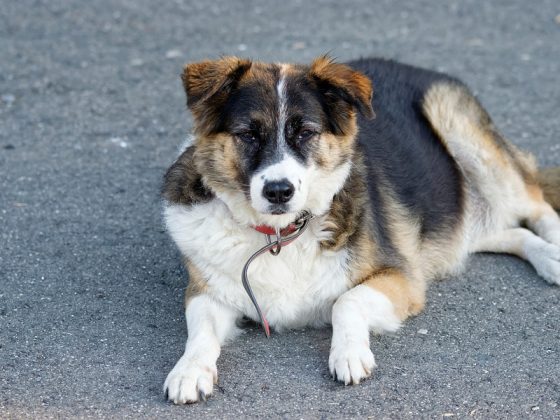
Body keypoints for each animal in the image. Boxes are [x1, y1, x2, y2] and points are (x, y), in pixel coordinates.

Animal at [161, 55, 560, 404]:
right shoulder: (207, 292)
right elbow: (200, 329)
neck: (279, 234)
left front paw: (348, 354)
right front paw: (188, 370)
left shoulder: (403, 278)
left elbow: (346, 301)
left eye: (306, 133)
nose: (278, 191)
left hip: (468, 138)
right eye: (247, 134)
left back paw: (554, 253)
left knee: (535, 204)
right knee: (505, 231)